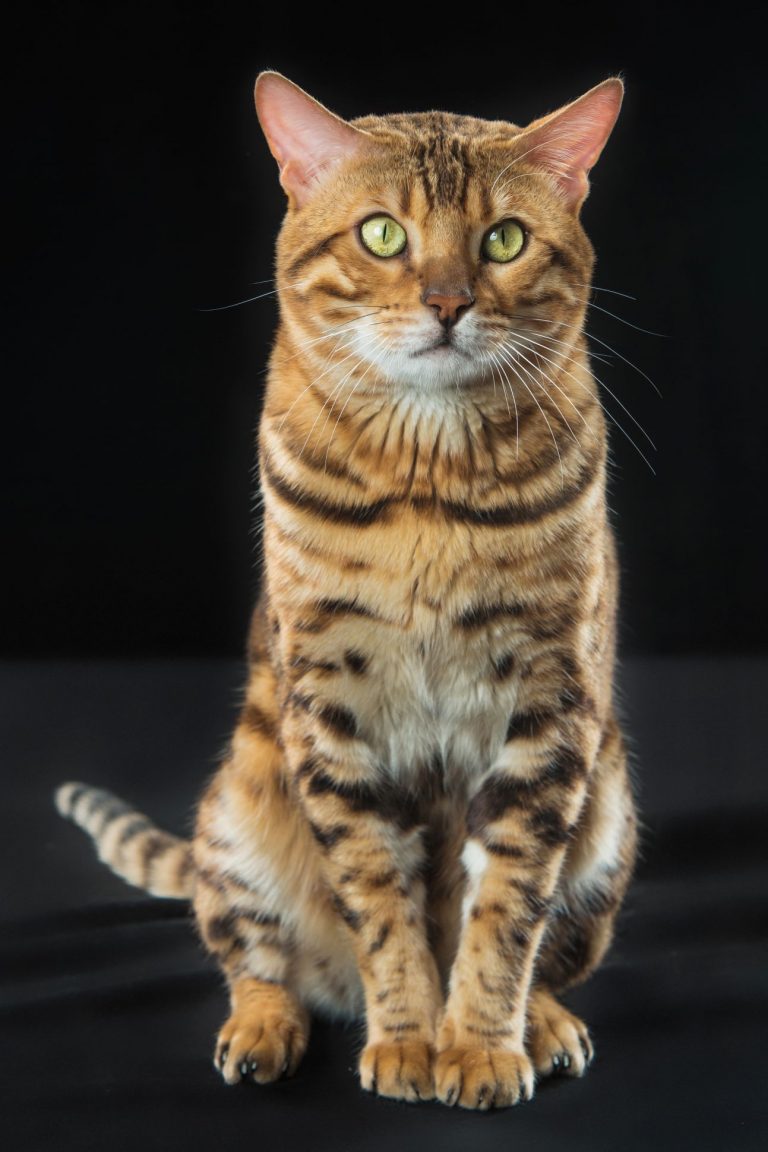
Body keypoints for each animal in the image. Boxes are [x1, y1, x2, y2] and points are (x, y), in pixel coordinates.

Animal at [55, 69, 635, 1105]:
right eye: (383, 235)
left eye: (503, 239)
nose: (447, 302)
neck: (429, 485)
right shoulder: (333, 702)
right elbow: (379, 899)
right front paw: (407, 1037)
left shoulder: (551, 704)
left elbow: (507, 907)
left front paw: (479, 1044)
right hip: (241, 808)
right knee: (254, 955)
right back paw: (263, 1028)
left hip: (607, 816)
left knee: (554, 945)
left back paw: (545, 1024)